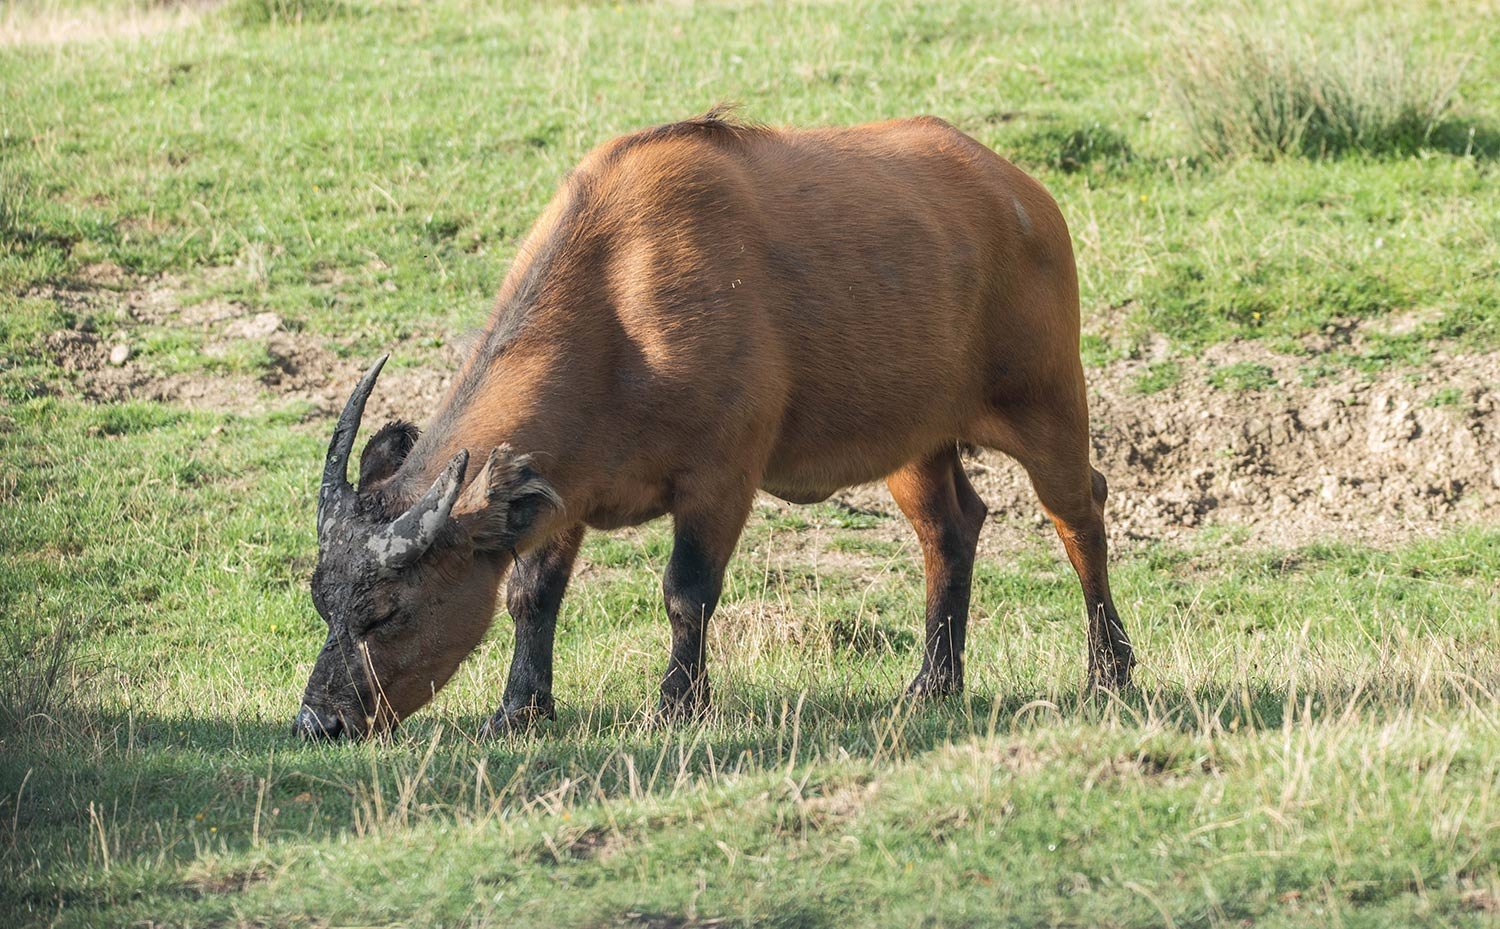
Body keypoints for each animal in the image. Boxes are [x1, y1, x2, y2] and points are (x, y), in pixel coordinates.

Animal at [292, 107, 1134, 741]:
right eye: (322, 601)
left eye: (386, 610)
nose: (317, 722)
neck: (621, 302)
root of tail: (1021, 193)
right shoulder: (563, 487)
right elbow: (532, 592)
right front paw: (520, 708)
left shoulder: (722, 478)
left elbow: (685, 590)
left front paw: (676, 703)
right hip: (914, 443)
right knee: (952, 527)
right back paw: (933, 682)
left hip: (1050, 403)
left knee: (1080, 512)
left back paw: (1109, 672)